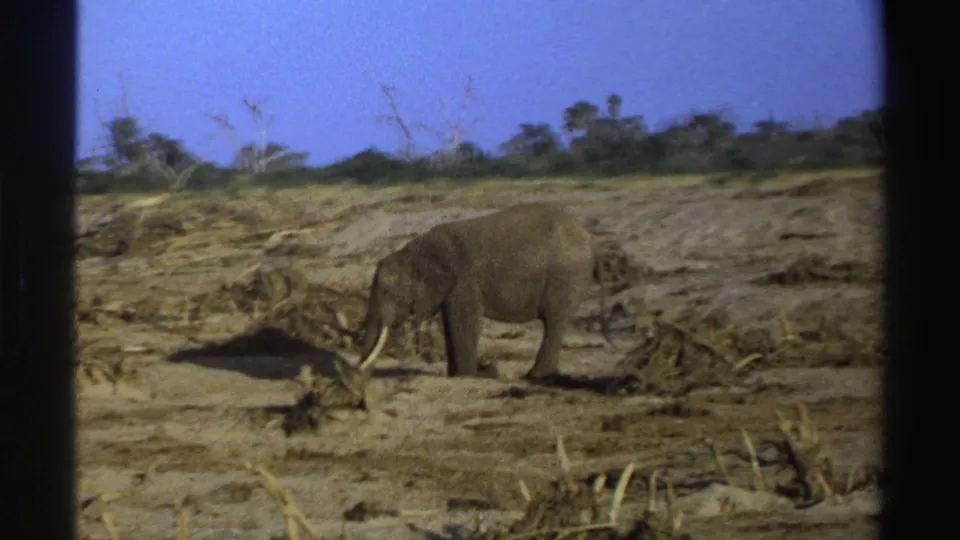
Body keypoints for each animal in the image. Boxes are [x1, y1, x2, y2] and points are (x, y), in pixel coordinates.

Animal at [357, 202, 615, 381]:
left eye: (388, 292)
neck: (413, 252)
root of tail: (593, 241)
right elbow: (451, 324)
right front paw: (463, 375)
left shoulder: (464, 282)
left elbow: (464, 323)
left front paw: (475, 374)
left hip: (566, 276)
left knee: (553, 322)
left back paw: (534, 377)